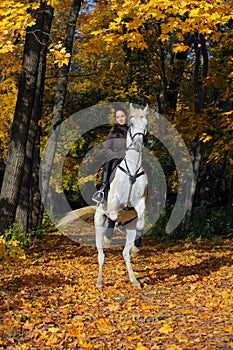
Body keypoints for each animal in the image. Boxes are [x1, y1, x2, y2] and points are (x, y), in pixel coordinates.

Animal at [94, 102, 147, 288]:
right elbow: (114, 215)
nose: (137, 144)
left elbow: (141, 222)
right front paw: (109, 237)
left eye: (146, 125)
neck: (132, 171)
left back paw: (134, 280)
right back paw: (99, 281)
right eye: (131, 124)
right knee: (101, 255)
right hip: (98, 222)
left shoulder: (140, 202)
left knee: (125, 253)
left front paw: (137, 246)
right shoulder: (114, 203)